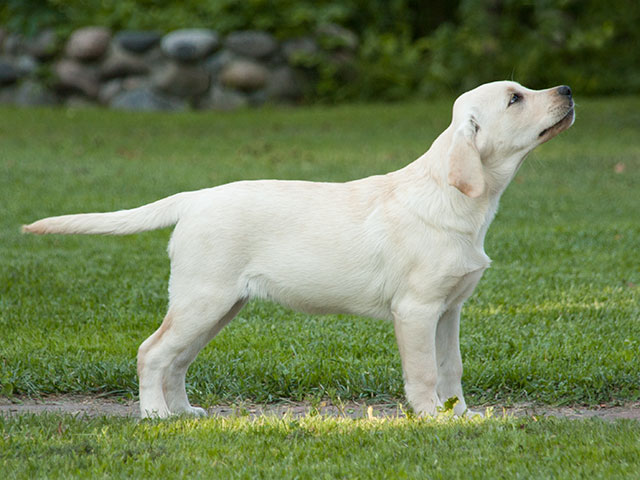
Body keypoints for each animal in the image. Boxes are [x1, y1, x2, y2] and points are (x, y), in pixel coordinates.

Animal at [23, 81, 575, 418]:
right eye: (515, 99)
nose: (566, 89)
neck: (457, 198)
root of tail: (194, 197)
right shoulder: (416, 311)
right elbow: (423, 372)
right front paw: (426, 417)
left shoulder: (449, 310)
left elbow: (450, 369)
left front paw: (461, 415)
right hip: (203, 298)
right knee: (152, 352)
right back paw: (155, 414)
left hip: (219, 306)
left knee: (176, 360)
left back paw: (182, 411)